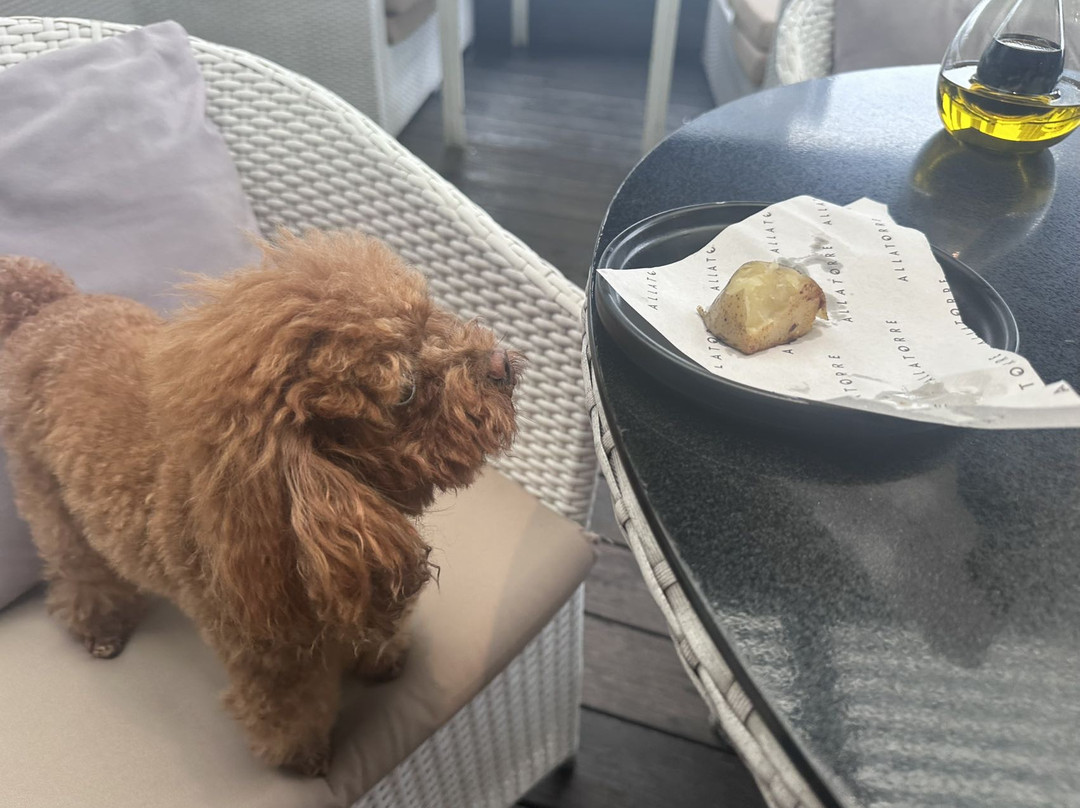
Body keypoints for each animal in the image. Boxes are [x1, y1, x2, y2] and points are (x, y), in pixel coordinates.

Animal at [0, 230, 522, 775]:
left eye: (429, 321)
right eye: (405, 390)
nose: (501, 363)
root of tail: (44, 306)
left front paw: (383, 659)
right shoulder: (271, 656)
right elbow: (288, 711)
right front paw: (303, 756)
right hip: (43, 490)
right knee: (76, 566)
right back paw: (100, 625)